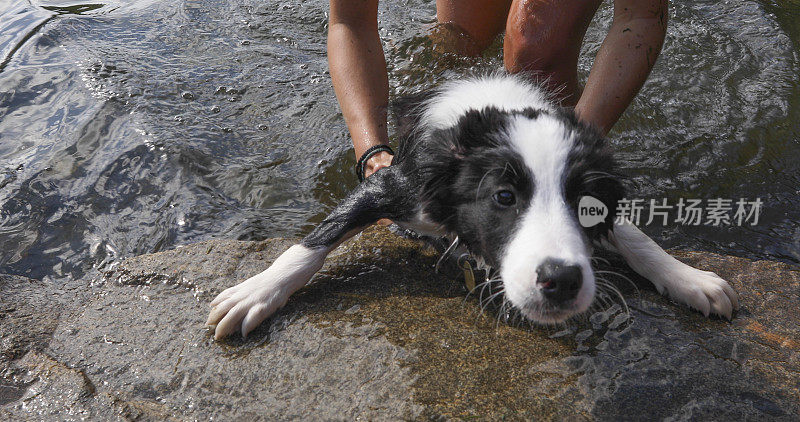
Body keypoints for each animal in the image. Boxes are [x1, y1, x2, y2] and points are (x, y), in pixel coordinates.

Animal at [206, 74, 736, 340]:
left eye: (585, 205)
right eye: (503, 197)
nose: (561, 280)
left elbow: (632, 233)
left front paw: (689, 278)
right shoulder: (401, 187)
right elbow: (317, 238)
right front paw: (255, 292)